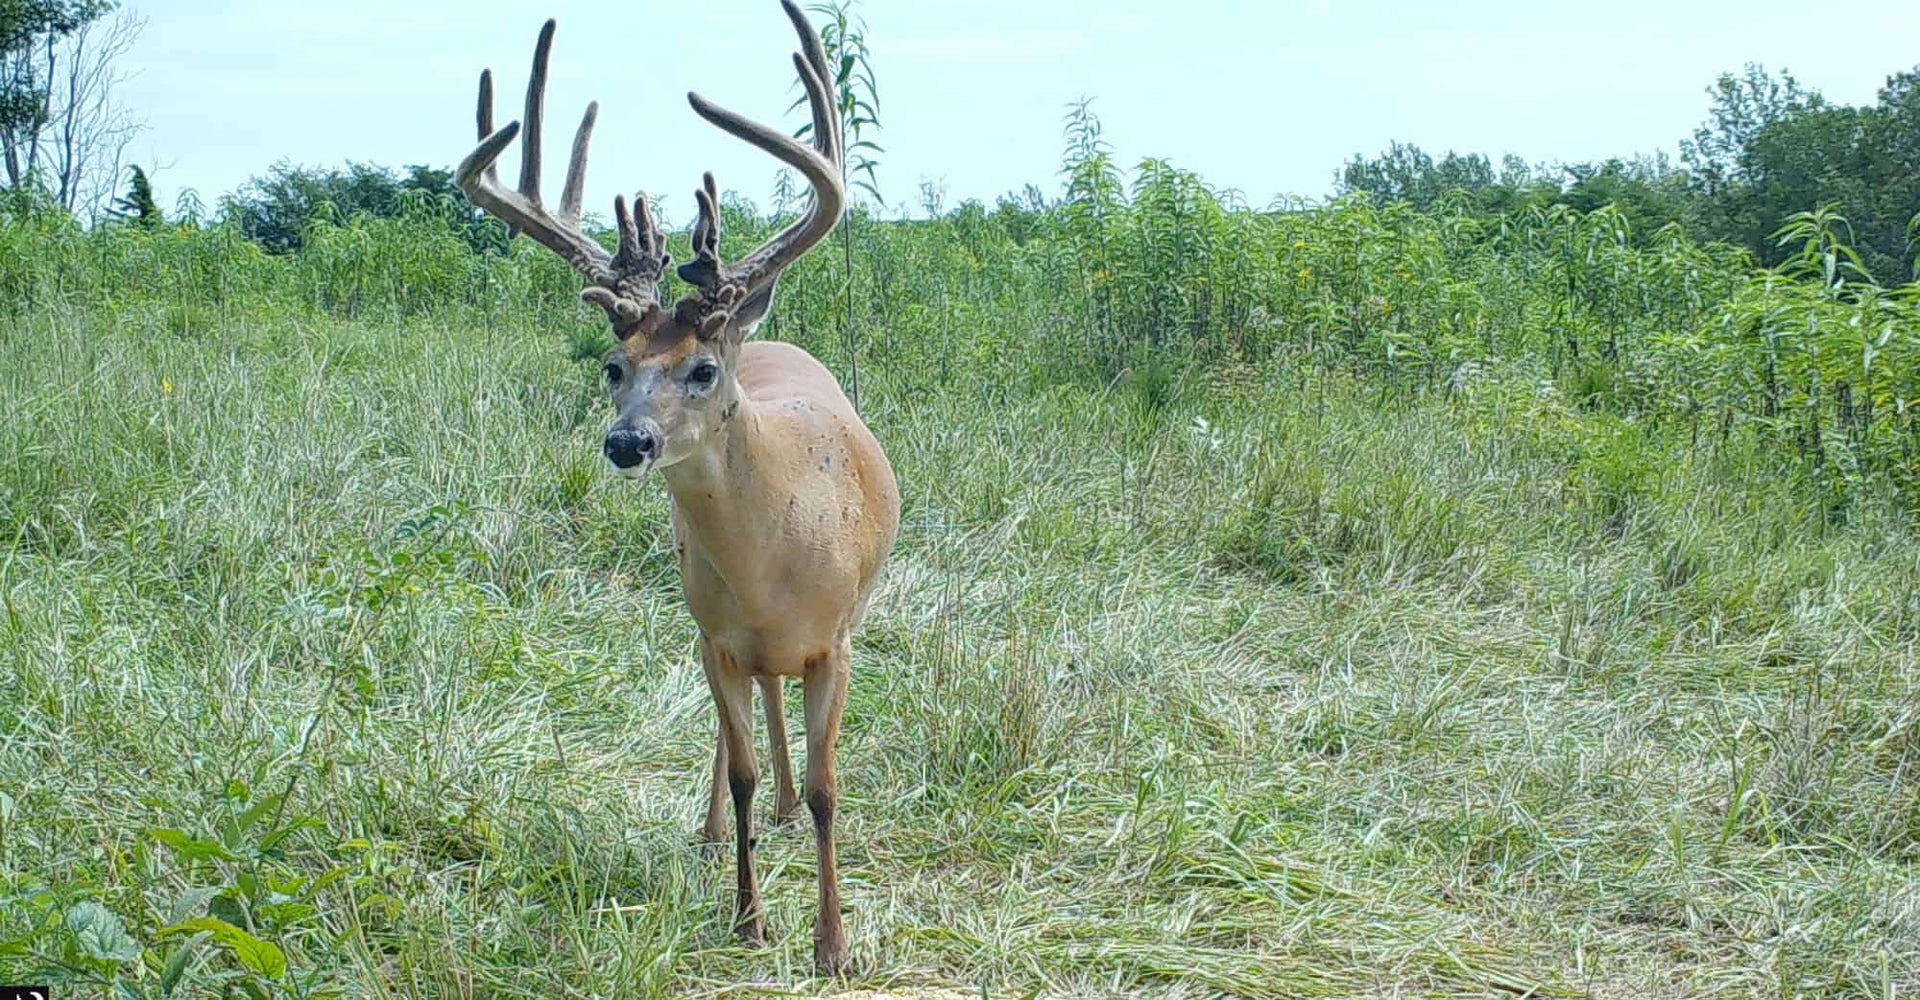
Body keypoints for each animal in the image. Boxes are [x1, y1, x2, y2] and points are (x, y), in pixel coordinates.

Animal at [451, 2, 899, 974]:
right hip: (706, 637)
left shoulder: (837, 642)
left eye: (700, 369)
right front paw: (749, 917)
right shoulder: (716, 637)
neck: (772, 568)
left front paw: (833, 944)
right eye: (613, 366)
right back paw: (714, 829)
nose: (628, 441)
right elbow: (739, 767)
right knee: (739, 734)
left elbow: (827, 789)